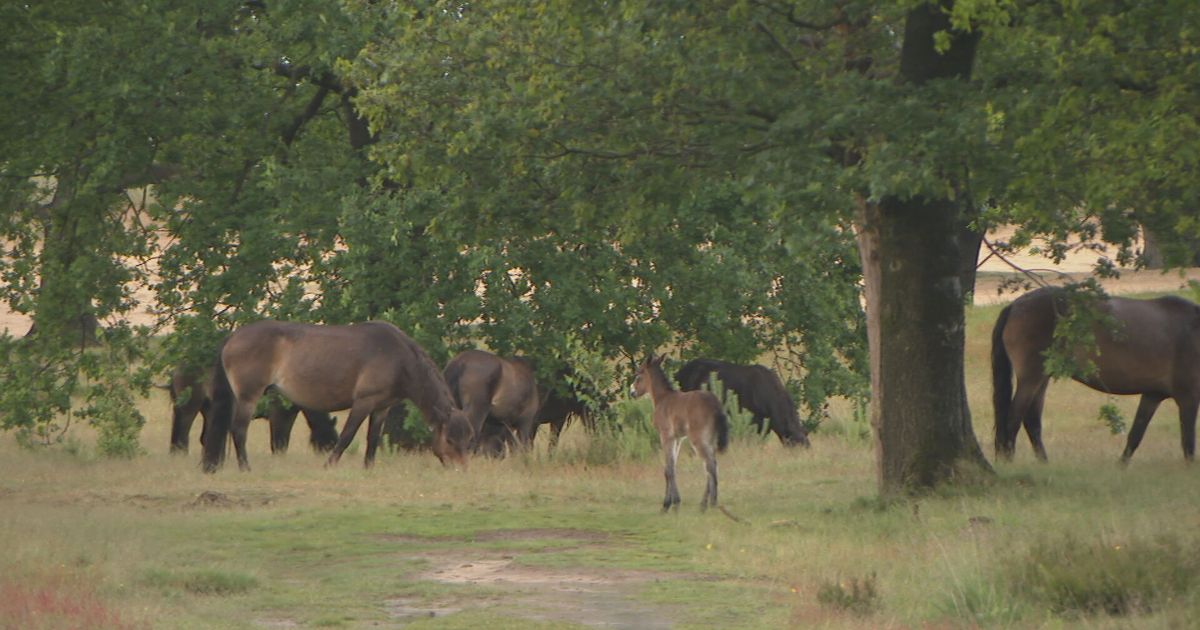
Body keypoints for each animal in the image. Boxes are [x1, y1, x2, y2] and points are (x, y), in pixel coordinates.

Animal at [166, 360, 340, 453]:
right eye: (330, 442)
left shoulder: (289, 414)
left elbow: (283, 441)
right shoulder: (278, 413)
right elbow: (278, 442)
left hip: (208, 410)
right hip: (190, 406)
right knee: (183, 432)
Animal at [201, 319, 472, 470]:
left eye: (467, 439)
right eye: (449, 440)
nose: (460, 470)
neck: (398, 357)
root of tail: (233, 336)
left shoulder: (381, 407)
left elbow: (373, 439)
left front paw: (368, 468)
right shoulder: (363, 402)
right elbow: (347, 436)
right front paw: (329, 465)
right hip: (248, 397)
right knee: (238, 430)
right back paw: (245, 467)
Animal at [628, 352, 729, 511]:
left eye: (638, 374)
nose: (632, 392)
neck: (663, 398)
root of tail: (716, 404)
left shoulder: (665, 436)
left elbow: (668, 469)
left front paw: (669, 504)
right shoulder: (677, 438)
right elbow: (672, 467)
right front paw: (673, 503)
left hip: (698, 438)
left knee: (710, 465)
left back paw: (711, 503)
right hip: (710, 438)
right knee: (711, 465)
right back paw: (704, 503)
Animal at [988, 284, 1200, 460]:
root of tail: (1015, 305)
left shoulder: (1152, 394)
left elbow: (1135, 436)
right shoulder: (1189, 397)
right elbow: (1188, 443)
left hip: (1042, 378)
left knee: (1031, 421)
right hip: (1031, 378)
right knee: (1012, 419)